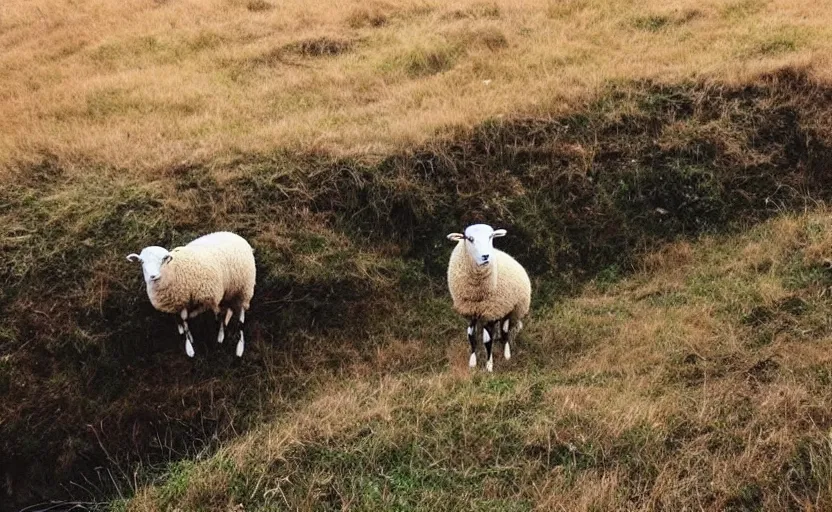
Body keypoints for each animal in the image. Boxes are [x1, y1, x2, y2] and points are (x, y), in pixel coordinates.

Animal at [127, 230, 255, 358]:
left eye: (164, 259)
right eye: (141, 261)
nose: (153, 276)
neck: (174, 270)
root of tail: (231, 233)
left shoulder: (207, 298)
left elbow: (195, 318)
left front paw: (193, 346)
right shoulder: (175, 303)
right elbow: (181, 320)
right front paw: (187, 339)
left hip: (244, 288)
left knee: (240, 318)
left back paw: (239, 347)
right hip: (230, 291)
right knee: (228, 310)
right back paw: (222, 332)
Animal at [446, 224, 528, 372]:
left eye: (491, 236)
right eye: (470, 238)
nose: (485, 256)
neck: (477, 293)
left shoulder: (490, 311)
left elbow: (487, 341)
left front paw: (489, 366)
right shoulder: (472, 313)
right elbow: (471, 337)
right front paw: (472, 363)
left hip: (509, 309)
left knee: (505, 332)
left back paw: (507, 354)